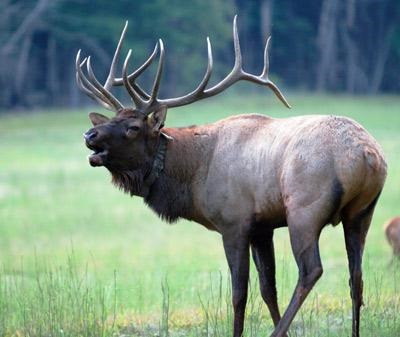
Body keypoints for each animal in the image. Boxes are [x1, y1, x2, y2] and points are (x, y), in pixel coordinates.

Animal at [76, 17, 388, 336]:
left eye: (133, 127)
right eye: (112, 119)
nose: (89, 135)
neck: (193, 176)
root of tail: (367, 155)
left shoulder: (234, 222)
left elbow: (240, 294)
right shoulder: (262, 227)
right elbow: (268, 288)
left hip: (304, 209)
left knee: (311, 269)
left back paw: (277, 331)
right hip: (362, 212)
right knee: (356, 277)